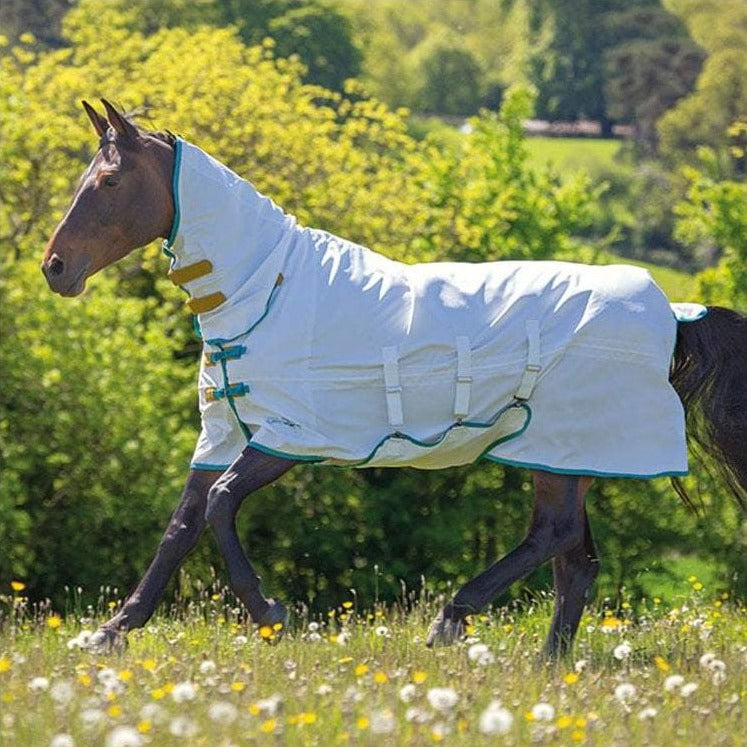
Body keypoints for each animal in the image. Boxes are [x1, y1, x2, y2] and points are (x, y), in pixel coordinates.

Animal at [39, 99, 747, 656]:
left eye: (109, 180)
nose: (55, 268)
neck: (266, 288)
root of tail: (672, 311)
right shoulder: (224, 432)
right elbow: (180, 527)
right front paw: (110, 632)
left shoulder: (291, 439)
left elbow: (217, 505)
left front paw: (271, 613)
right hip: (566, 456)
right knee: (575, 560)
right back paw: (548, 662)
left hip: (561, 449)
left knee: (556, 538)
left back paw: (452, 619)